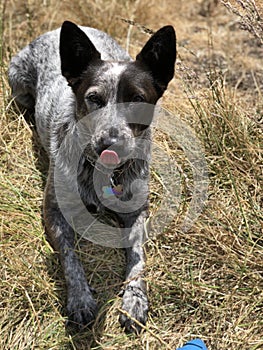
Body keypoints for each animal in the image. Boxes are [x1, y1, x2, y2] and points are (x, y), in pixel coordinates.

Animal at [8, 19, 177, 334]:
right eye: (94, 99)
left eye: (138, 99)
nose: (111, 142)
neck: (104, 173)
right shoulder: (54, 211)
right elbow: (70, 257)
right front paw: (80, 299)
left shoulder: (137, 211)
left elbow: (138, 257)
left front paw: (134, 300)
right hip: (18, 84)